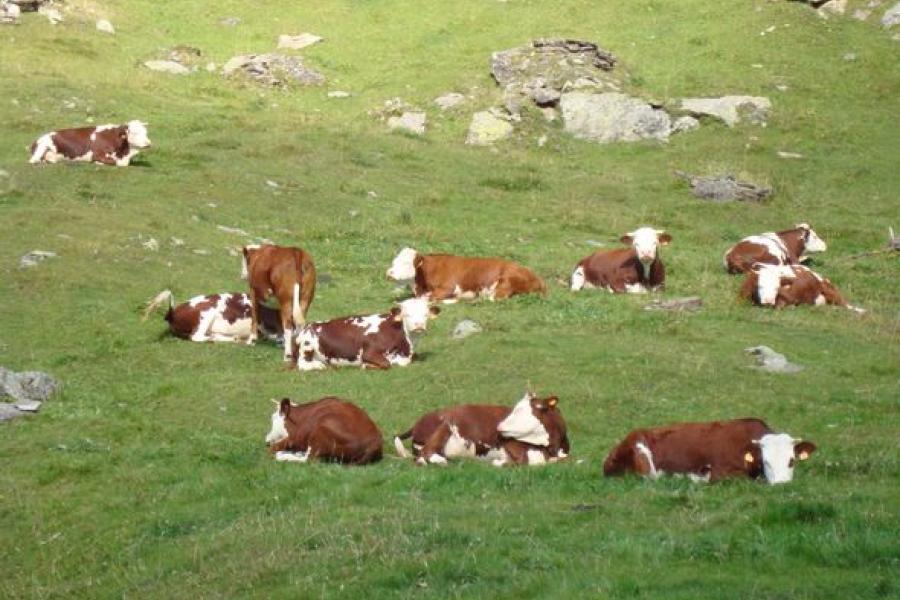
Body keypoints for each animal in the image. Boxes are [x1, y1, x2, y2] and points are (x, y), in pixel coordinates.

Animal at [291, 297, 439, 371]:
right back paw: (320, 365)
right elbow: (387, 364)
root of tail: (308, 325)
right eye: (407, 314)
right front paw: (366, 365)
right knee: (303, 364)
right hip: (307, 346)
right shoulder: (370, 353)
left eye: (425, 314)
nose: (419, 326)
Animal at [386, 247, 546, 303]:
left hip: (506, 280)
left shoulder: (448, 287)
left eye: (406, 263)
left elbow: (430, 299)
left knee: (494, 298)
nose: (389, 273)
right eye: (394, 261)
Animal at [393, 392, 570, 466]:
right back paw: (442, 461)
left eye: (519, 411)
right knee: (424, 454)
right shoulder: (513, 445)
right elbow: (525, 461)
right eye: (514, 409)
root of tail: (417, 423)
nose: (498, 427)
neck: (553, 447)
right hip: (446, 425)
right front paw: (499, 463)